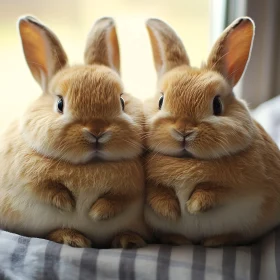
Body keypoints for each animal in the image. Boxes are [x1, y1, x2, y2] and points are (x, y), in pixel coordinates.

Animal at [0, 15, 149, 248]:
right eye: (60, 104)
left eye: (122, 102)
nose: (97, 131)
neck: (90, 165)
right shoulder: (27, 177)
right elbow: (44, 187)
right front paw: (67, 204)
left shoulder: (132, 188)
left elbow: (119, 198)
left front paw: (97, 213)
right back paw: (72, 238)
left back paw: (128, 240)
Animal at [143, 16, 280, 246]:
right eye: (161, 101)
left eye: (217, 105)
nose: (184, 131)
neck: (187, 161)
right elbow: (158, 193)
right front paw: (170, 210)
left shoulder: (243, 187)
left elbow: (218, 192)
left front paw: (193, 206)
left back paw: (216, 241)